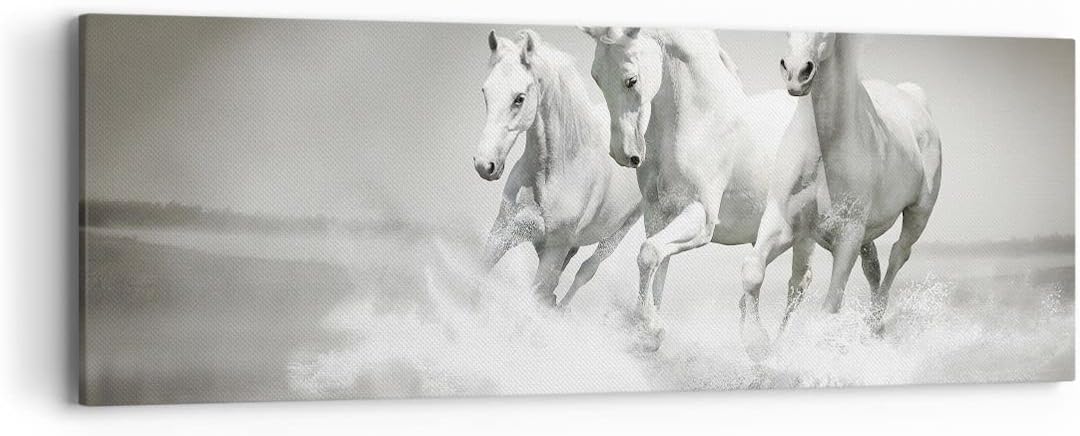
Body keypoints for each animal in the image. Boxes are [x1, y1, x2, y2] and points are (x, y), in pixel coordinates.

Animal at [474, 29, 642, 308]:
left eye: (519, 98)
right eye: (485, 92)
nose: (484, 165)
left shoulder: (554, 250)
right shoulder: (503, 232)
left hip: (619, 232)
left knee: (586, 270)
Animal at [581, 27, 814, 356]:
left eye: (631, 79)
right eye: (596, 77)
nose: (623, 154)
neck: (701, 121)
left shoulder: (701, 217)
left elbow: (648, 254)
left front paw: (651, 328)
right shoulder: (658, 214)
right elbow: (657, 264)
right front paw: (649, 333)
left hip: (805, 234)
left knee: (798, 283)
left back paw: (769, 347)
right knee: (761, 270)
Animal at [745, 32, 941, 332]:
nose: (796, 73)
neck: (824, 146)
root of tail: (913, 97)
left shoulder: (849, 234)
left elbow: (830, 306)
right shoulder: (783, 221)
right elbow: (753, 273)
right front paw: (758, 341)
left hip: (918, 213)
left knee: (899, 253)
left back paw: (874, 322)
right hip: (865, 235)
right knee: (872, 267)